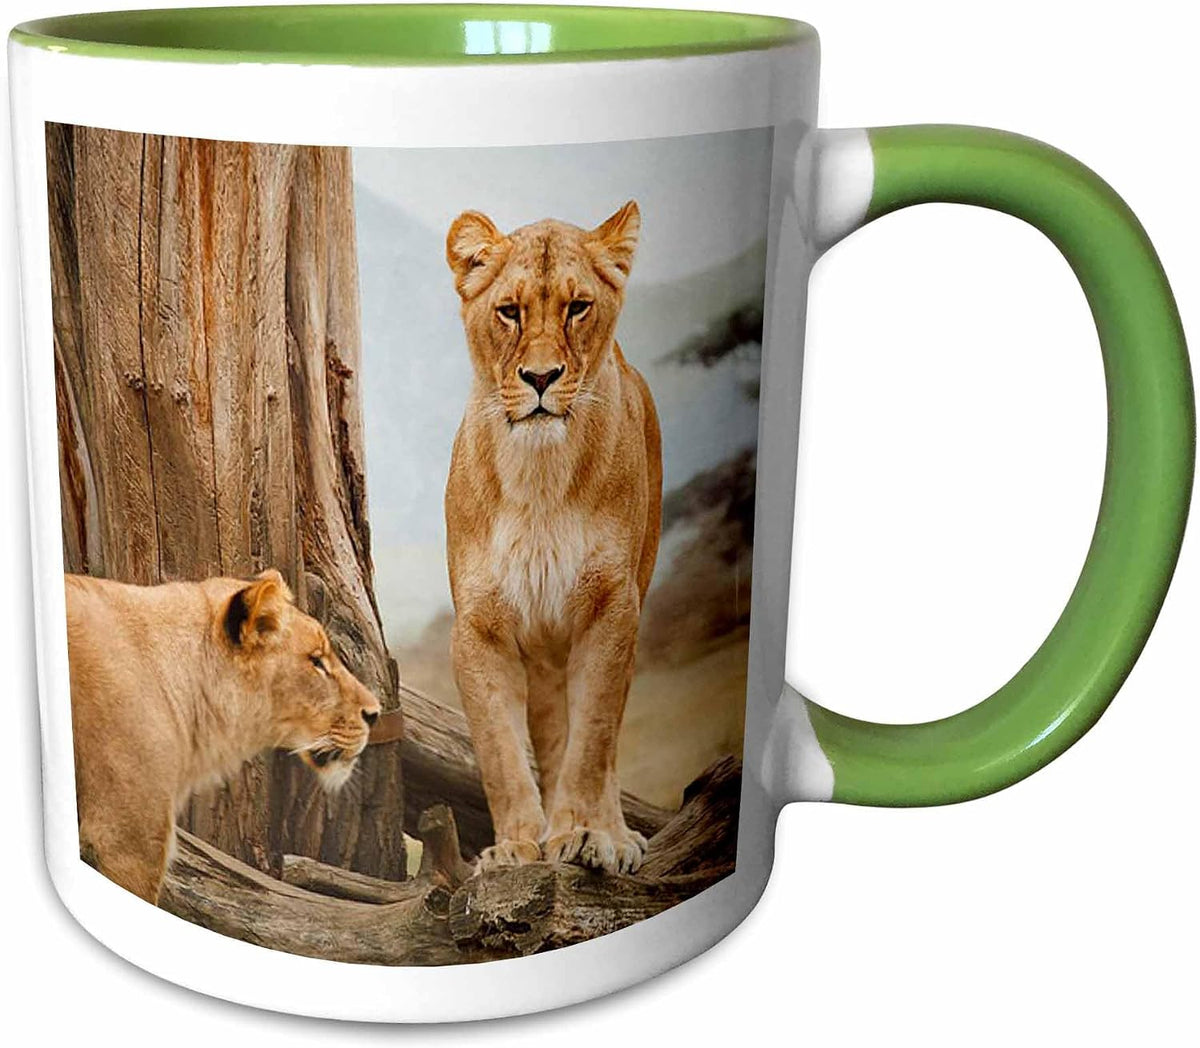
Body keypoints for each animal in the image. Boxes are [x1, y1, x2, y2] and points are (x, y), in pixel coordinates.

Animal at [444, 201, 662, 876]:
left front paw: (580, 833)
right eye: (509, 311)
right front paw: (516, 846)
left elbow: (592, 740)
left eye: (578, 307)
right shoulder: (478, 627)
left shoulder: (612, 608)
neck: (538, 477)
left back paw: (613, 836)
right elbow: (500, 750)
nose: (541, 377)